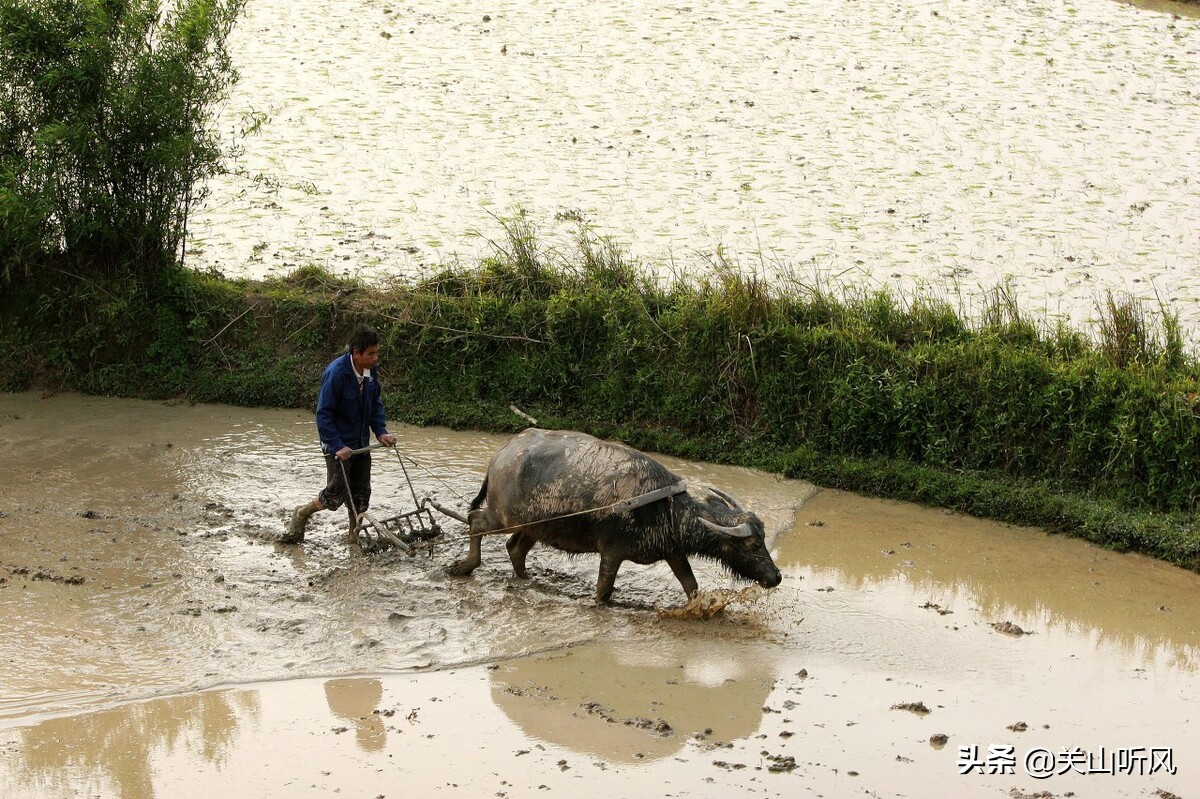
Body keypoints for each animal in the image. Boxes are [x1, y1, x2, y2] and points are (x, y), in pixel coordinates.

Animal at [446, 427, 782, 599]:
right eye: (753, 544)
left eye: (764, 539)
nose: (776, 577)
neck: (663, 508)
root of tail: (501, 455)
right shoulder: (612, 552)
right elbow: (603, 591)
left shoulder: (673, 552)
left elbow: (691, 586)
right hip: (503, 516)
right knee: (475, 521)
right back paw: (465, 566)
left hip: (535, 525)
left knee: (515, 548)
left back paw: (526, 578)